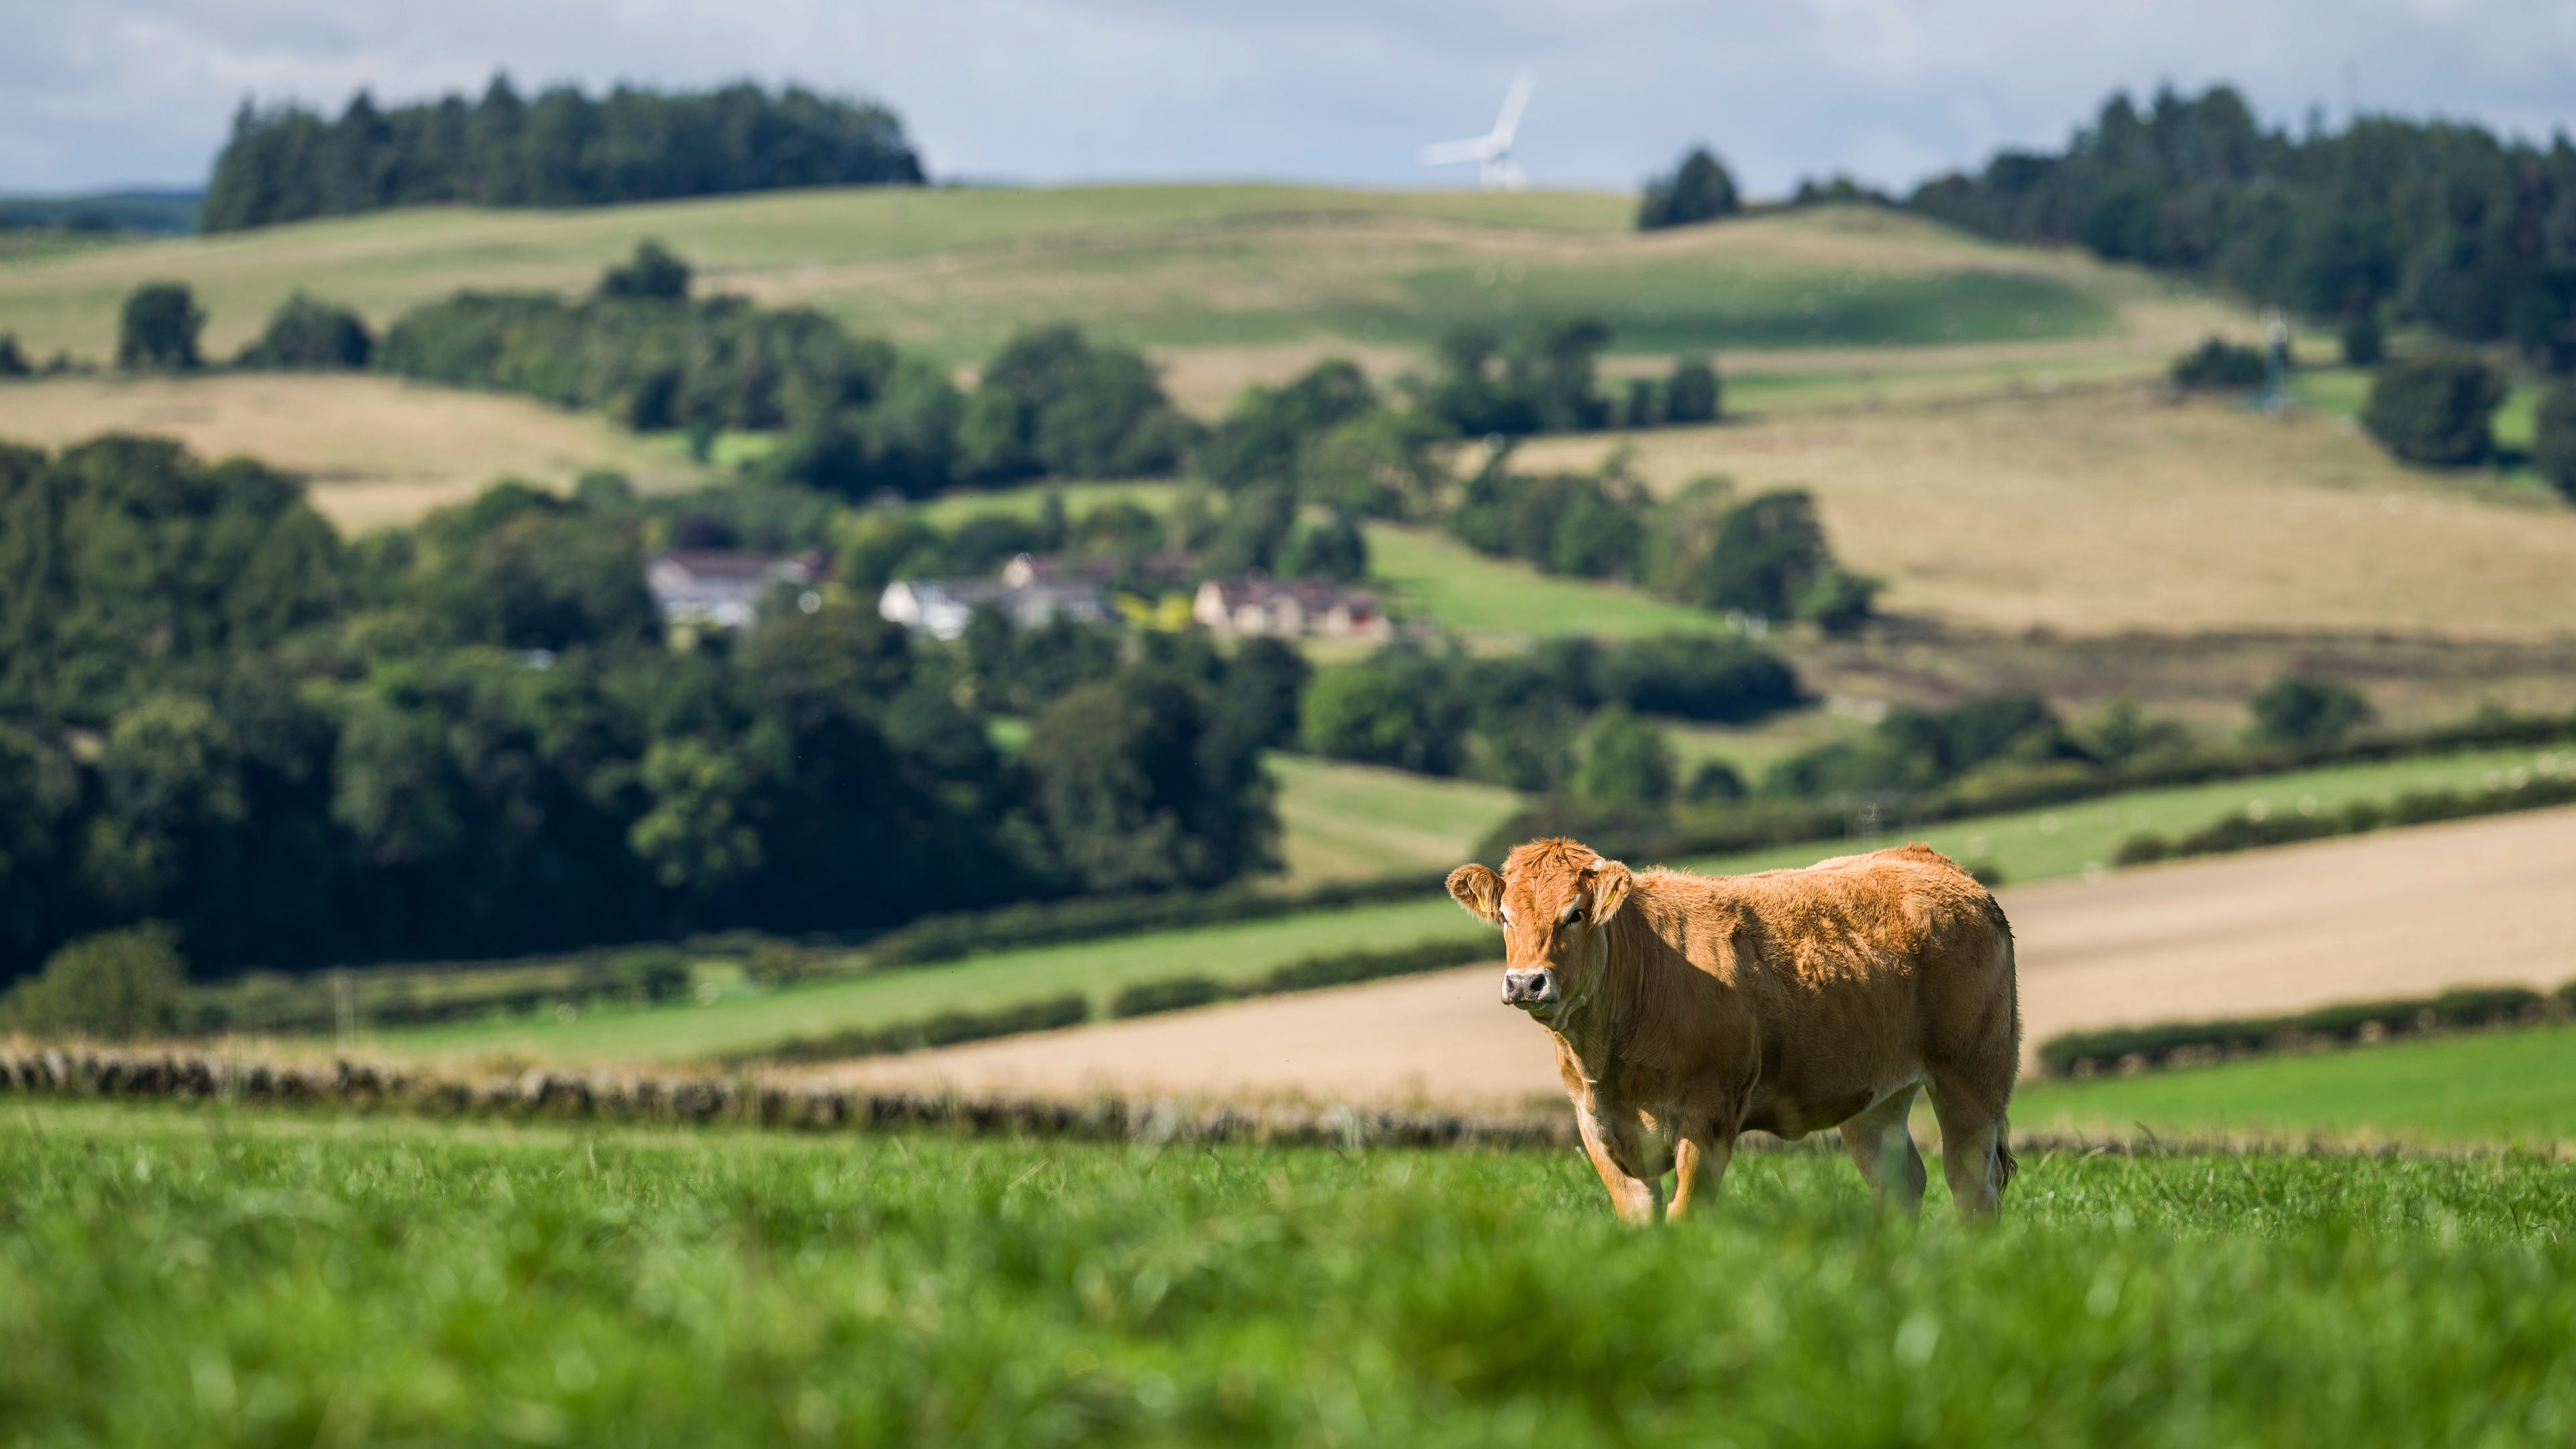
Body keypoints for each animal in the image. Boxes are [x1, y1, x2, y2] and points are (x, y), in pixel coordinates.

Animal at [1446, 838, 2019, 1224]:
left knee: (1972, 1186)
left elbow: (1686, 1214)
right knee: (1900, 1185)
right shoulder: (1594, 1123)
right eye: (1504, 917)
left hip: (1973, 1077)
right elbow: (1640, 1217)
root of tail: (1931, 861)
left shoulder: (1709, 1116)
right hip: (1876, 1097)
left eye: (1576, 913)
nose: (1526, 982)